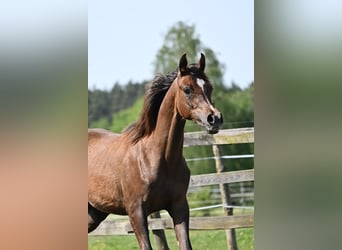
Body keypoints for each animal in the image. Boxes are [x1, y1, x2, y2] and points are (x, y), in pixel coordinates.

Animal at [87, 53, 223, 249]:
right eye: (187, 89)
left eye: (209, 87)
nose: (214, 119)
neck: (157, 158)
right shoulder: (136, 211)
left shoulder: (179, 206)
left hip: (94, 213)